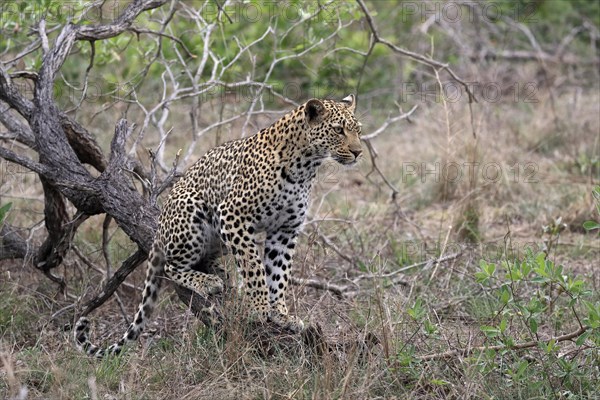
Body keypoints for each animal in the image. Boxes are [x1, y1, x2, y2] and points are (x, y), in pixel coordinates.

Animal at [77, 94, 364, 356]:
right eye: (338, 130)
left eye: (358, 130)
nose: (358, 152)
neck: (305, 166)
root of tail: (160, 227)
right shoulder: (233, 215)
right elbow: (254, 267)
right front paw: (261, 308)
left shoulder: (284, 231)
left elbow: (279, 274)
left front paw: (281, 313)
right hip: (193, 213)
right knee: (171, 266)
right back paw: (207, 281)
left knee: (206, 259)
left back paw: (219, 273)